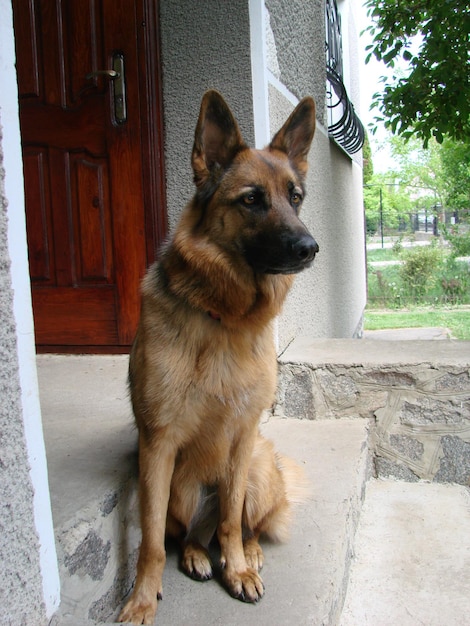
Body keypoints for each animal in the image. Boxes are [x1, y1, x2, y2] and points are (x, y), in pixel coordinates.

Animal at [120, 90, 320, 620]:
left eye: (295, 197)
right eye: (251, 199)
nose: (310, 247)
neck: (223, 318)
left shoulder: (242, 437)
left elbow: (231, 519)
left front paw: (238, 570)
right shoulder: (158, 447)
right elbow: (150, 541)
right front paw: (142, 599)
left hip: (257, 468)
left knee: (242, 524)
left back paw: (245, 556)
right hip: (181, 487)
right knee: (190, 533)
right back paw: (195, 554)